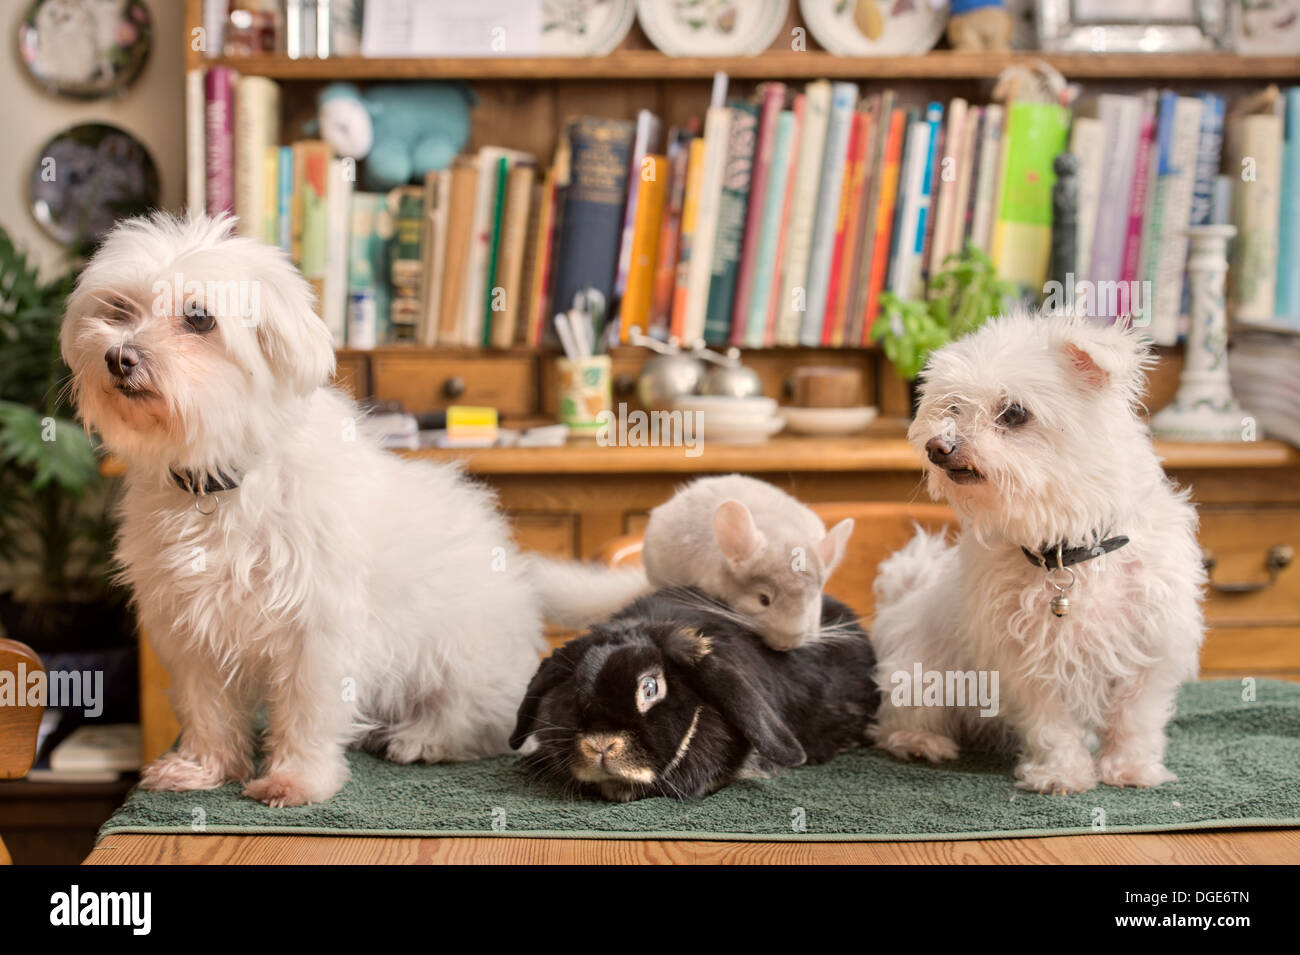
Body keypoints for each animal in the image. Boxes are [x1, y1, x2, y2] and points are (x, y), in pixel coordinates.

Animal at [62, 213, 650, 805]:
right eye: (118, 309)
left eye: (199, 318)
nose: (119, 357)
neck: (223, 481)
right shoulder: (189, 629)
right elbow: (206, 708)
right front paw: (204, 768)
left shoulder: (317, 629)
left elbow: (307, 711)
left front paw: (296, 778)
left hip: (462, 658)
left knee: (485, 721)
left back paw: (423, 739)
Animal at [868, 311, 1211, 789]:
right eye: (953, 407)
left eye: (1014, 413)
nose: (939, 448)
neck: (1068, 552)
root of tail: (901, 601)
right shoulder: (1025, 659)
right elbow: (1050, 724)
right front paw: (1061, 773)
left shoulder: (1151, 646)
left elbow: (1135, 719)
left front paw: (1129, 767)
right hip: (920, 676)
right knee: (896, 721)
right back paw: (921, 743)